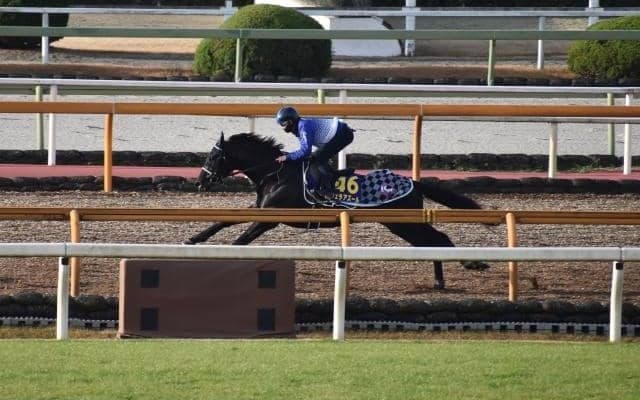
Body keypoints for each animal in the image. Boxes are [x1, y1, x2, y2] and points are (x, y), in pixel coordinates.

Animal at [185, 132, 489, 289]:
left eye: (214, 156)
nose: (199, 181)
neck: (275, 173)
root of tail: (413, 182)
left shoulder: (270, 219)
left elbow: (240, 242)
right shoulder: (260, 209)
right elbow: (224, 221)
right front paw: (193, 239)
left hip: (402, 222)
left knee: (438, 239)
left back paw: (467, 266)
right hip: (401, 224)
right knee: (431, 242)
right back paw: (442, 278)